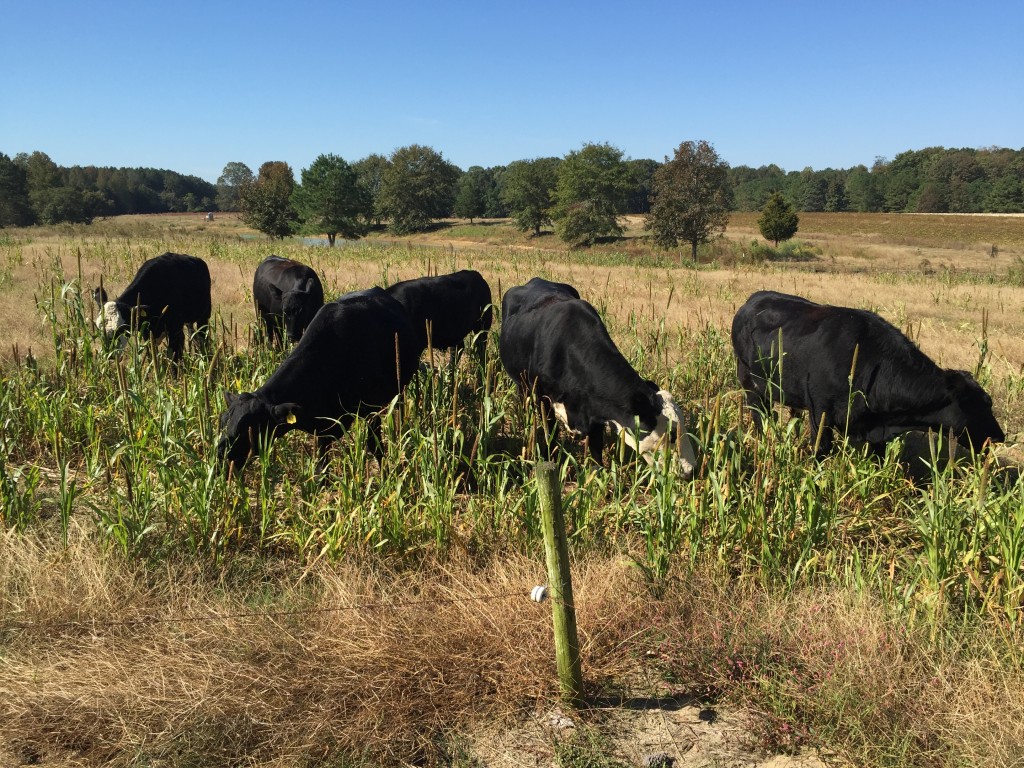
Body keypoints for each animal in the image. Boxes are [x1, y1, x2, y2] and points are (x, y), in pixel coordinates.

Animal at [216, 286, 423, 473]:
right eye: (223, 421)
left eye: (248, 429)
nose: (220, 457)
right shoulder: (323, 425)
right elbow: (321, 466)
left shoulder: (370, 409)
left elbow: (375, 447)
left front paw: (386, 477)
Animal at [495, 276, 696, 481]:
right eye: (672, 433)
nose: (692, 470)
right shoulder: (542, 397)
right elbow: (550, 431)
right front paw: (549, 457)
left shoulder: (595, 406)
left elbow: (596, 445)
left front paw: (597, 475)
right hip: (522, 384)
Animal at [733, 290, 1003, 456]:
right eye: (975, 406)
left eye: (988, 402)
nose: (999, 437)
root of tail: (753, 299)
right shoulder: (820, 414)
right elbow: (820, 452)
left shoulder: (878, 435)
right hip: (749, 382)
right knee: (760, 417)